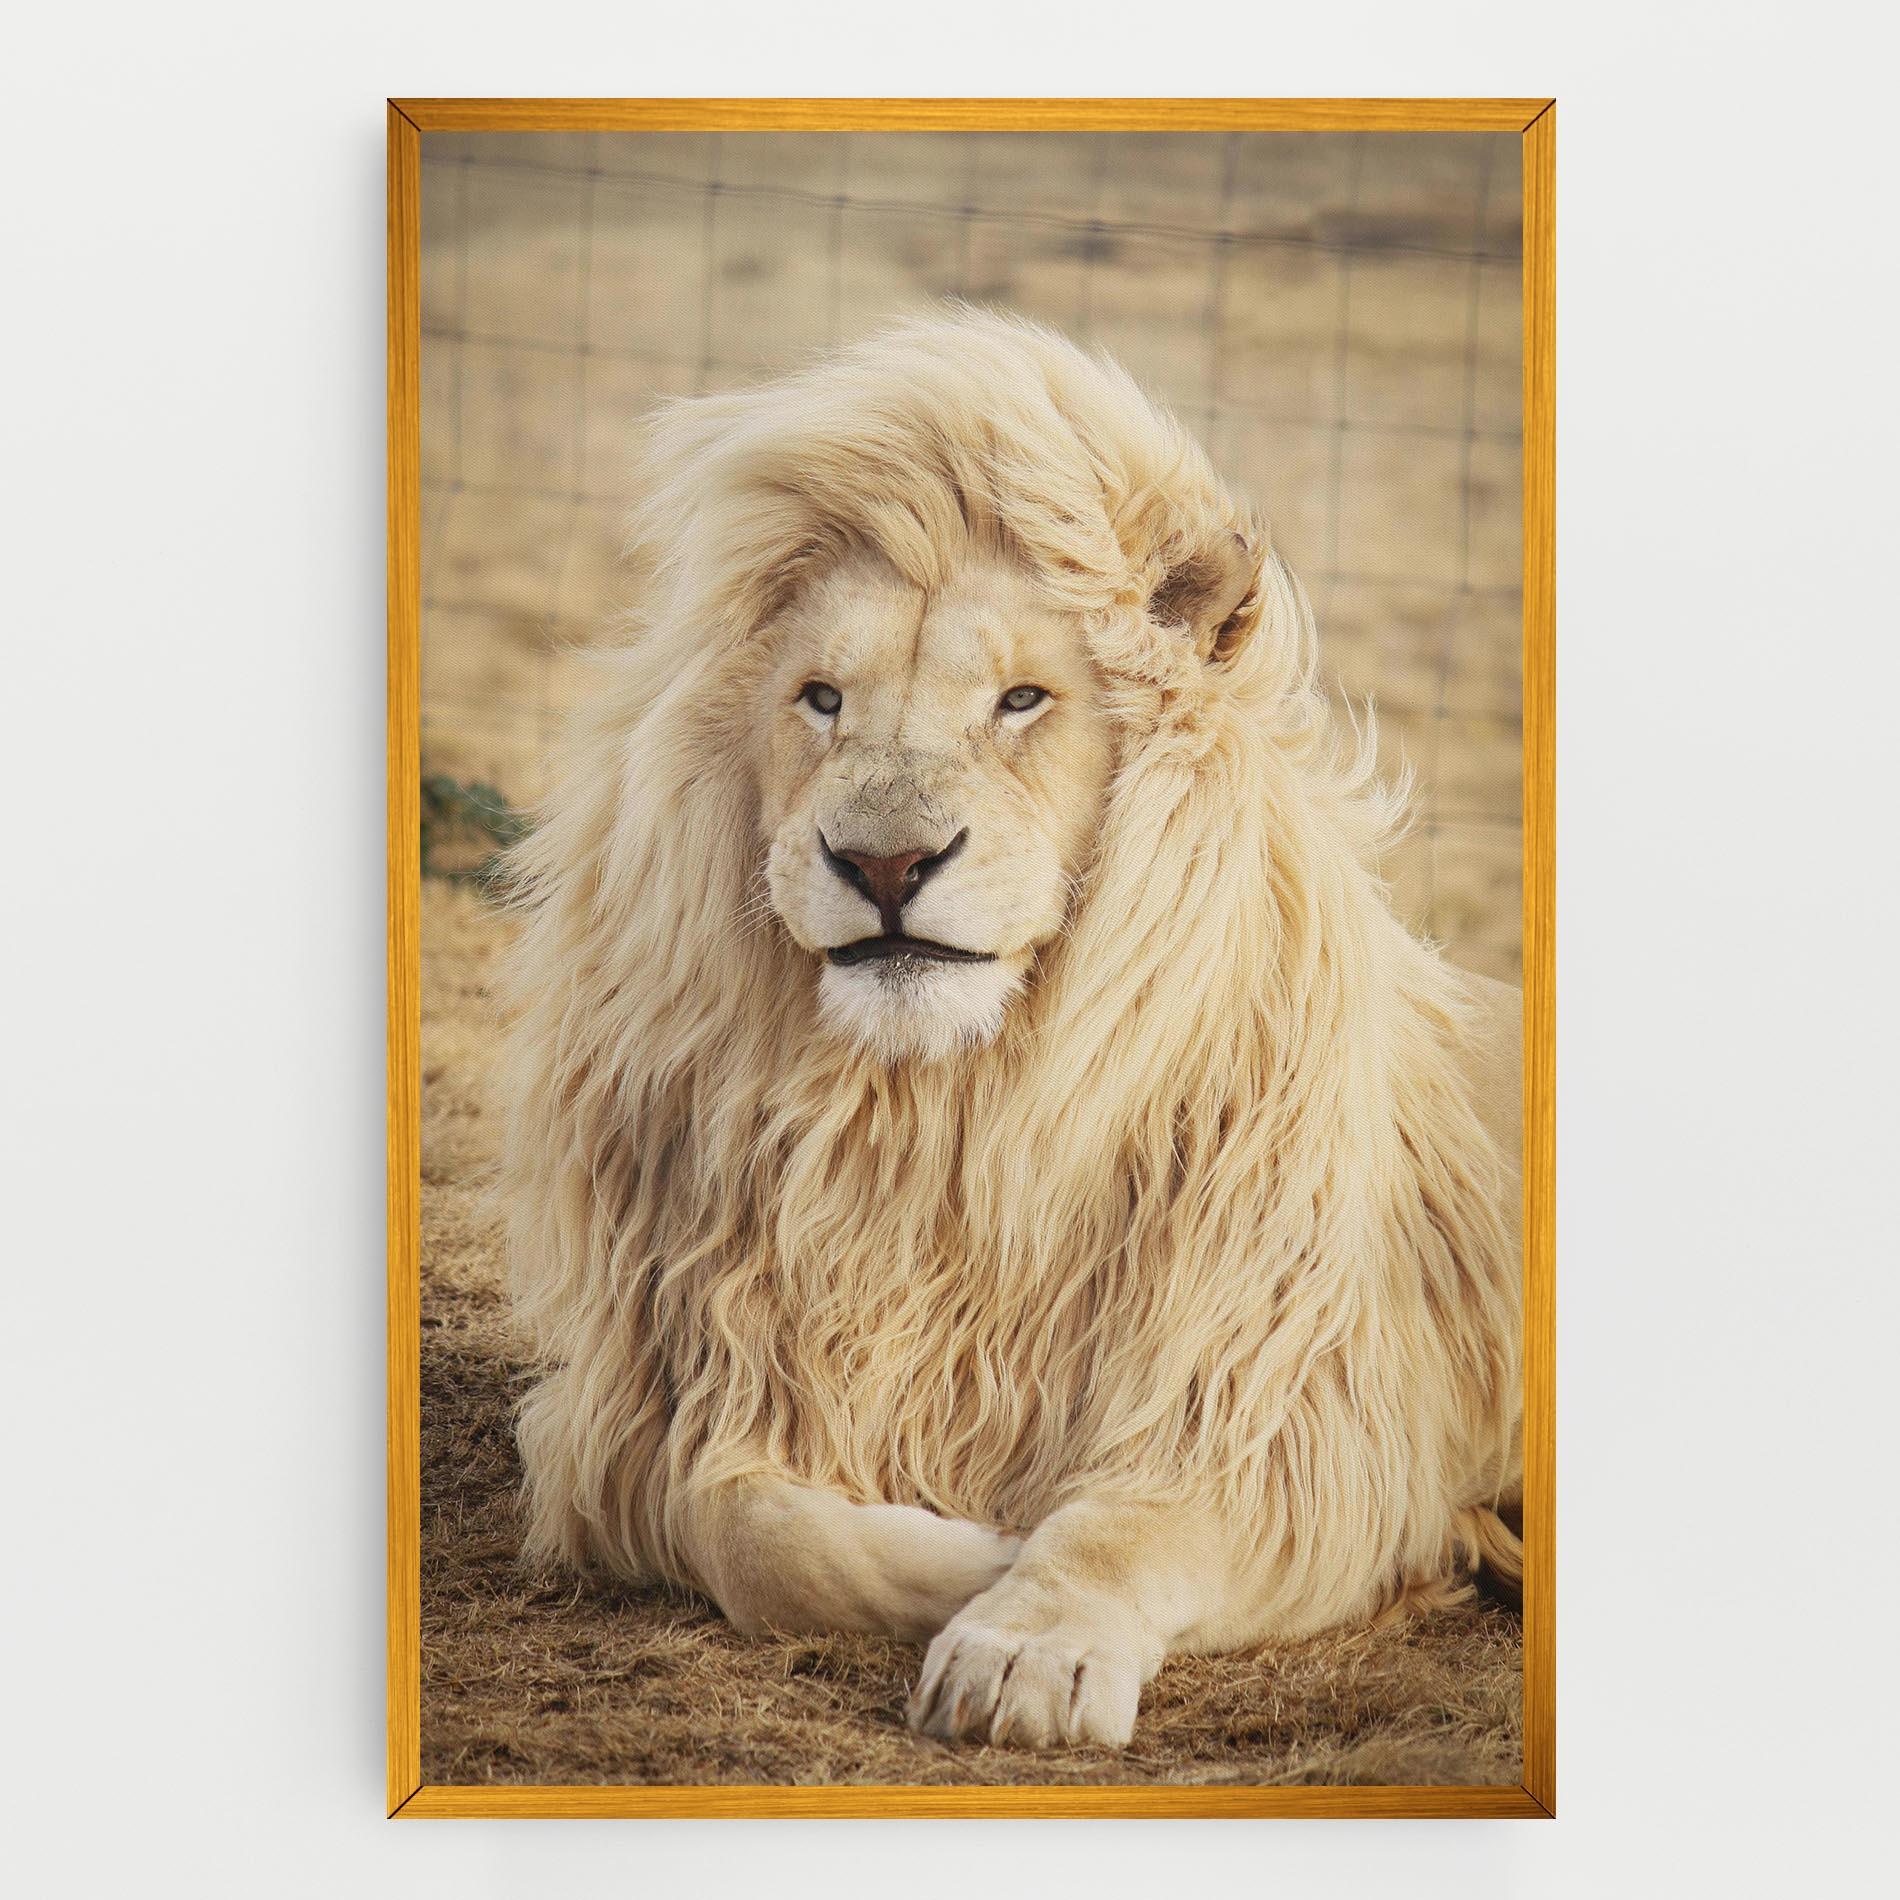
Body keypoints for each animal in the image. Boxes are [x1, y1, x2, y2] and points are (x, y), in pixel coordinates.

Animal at [500, 308, 1522, 1750]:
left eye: (1023, 700)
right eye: (821, 698)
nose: (883, 863)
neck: (942, 1118)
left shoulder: (1289, 1418)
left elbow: (1123, 1524)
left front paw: (1023, 1639)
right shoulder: (668, 1398)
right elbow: (745, 1525)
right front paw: (973, 1553)